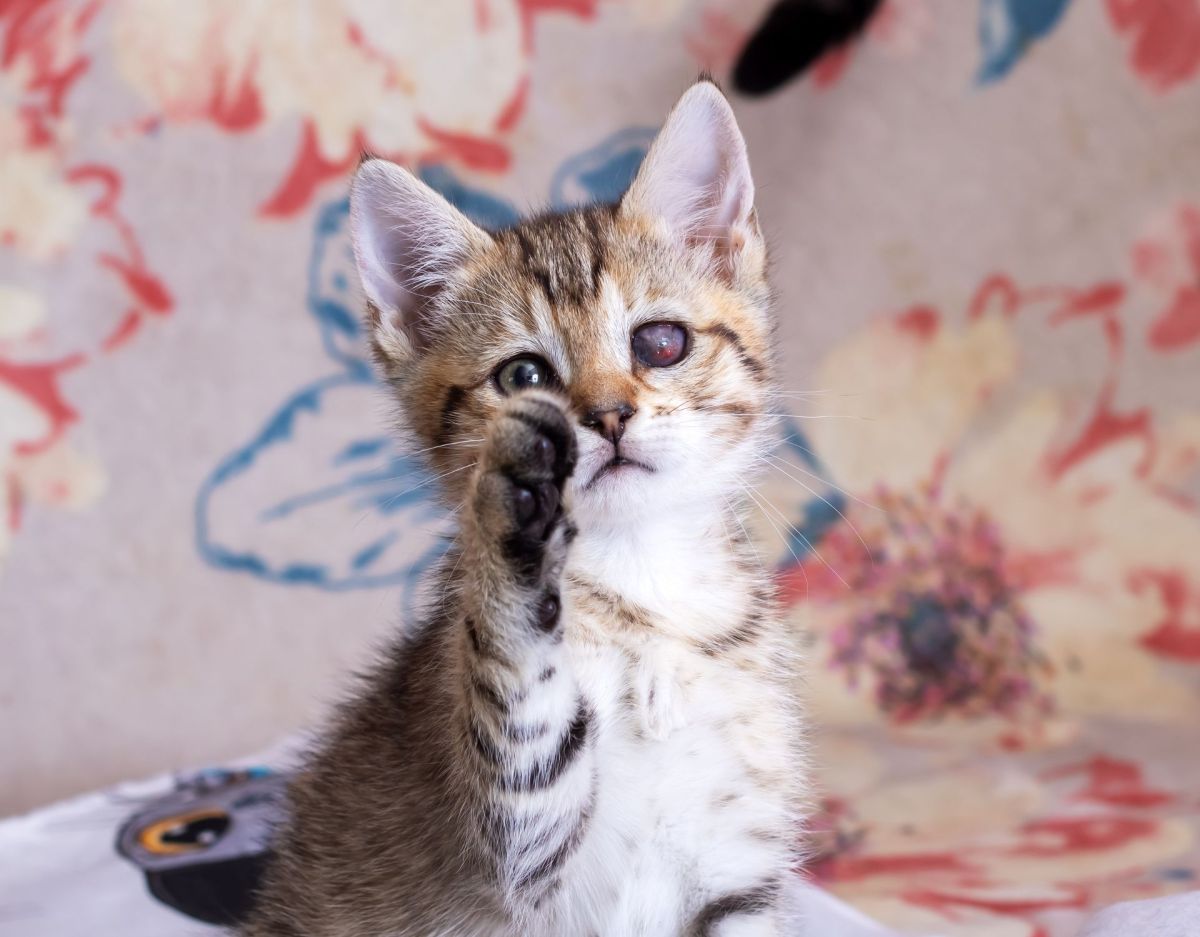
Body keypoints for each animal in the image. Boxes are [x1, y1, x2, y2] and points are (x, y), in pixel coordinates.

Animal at [238, 78, 806, 935]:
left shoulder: (735, 870)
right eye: (524, 378)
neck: (645, 598)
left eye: (661, 343)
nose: (607, 416)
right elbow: (519, 692)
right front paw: (511, 533)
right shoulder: (518, 846)